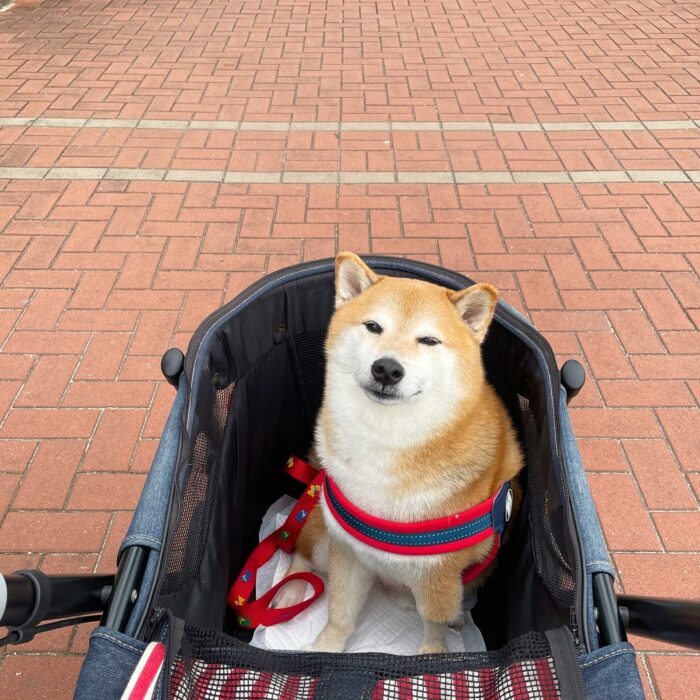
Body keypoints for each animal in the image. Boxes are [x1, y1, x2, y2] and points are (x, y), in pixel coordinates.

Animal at [276, 253, 524, 656]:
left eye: (429, 340)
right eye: (373, 326)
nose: (387, 368)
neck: (388, 443)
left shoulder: (439, 574)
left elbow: (434, 626)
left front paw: (434, 657)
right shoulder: (347, 549)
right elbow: (340, 612)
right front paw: (326, 649)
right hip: (321, 525)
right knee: (302, 544)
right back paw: (292, 589)